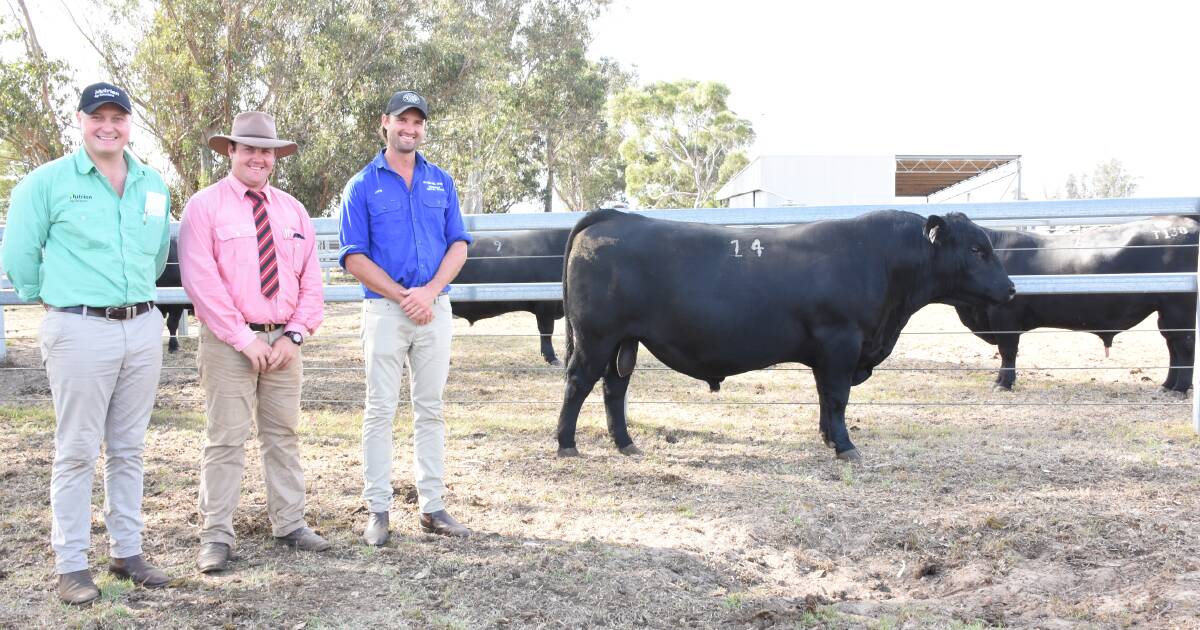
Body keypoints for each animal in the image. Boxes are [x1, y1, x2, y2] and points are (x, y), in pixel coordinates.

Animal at [556, 208, 1017, 458]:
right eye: (977, 249)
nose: (1011, 288)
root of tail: (614, 216)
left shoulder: (826, 352)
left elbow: (824, 397)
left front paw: (828, 438)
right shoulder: (841, 342)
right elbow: (837, 397)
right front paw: (846, 447)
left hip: (623, 341)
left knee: (614, 388)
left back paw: (625, 443)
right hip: (596, 337)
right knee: (578, 383)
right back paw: (566, 443)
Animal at [950, 216, 1195, 393]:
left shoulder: (1004, 314)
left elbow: (1007, 351)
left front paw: (1003, 383)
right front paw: (1000, 380)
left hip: (1179, 307)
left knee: (1184, 345)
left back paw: (1179, 389)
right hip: (1168, 312)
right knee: (1172, 345)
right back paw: (1167, 386)